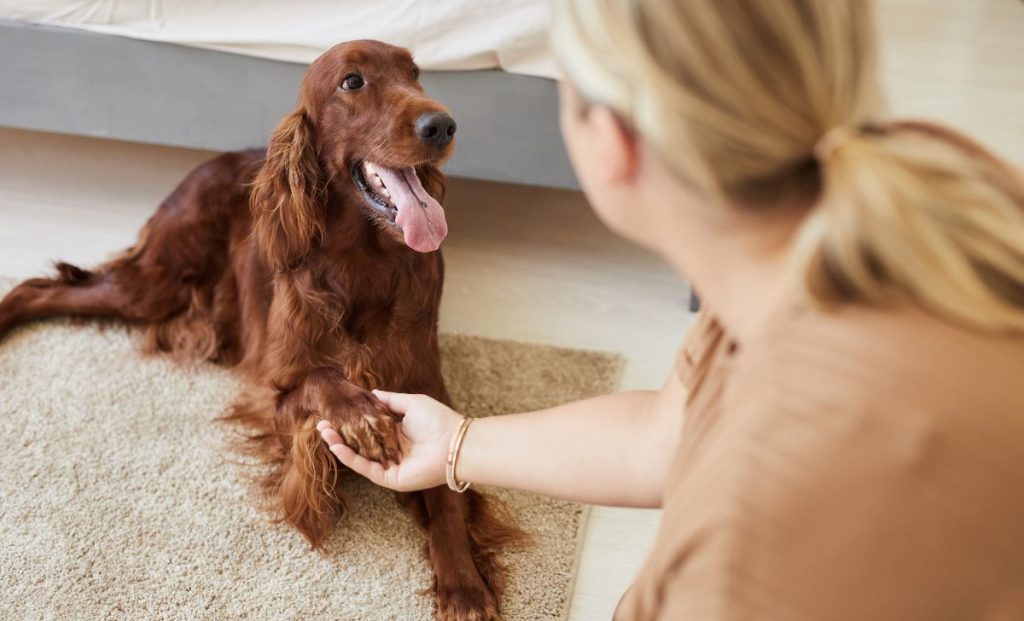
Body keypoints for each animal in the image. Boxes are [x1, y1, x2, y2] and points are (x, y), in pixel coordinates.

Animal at [0, 40, 524, 621]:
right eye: (352, 82)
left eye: (414, 73)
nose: (443, 125)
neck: (363, 262)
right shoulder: (273, 390)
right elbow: (320, 381)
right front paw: (361, 415)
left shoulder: (428, 389)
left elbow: (445, 488)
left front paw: (463, 584)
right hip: (158, 283)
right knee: (36, 289)